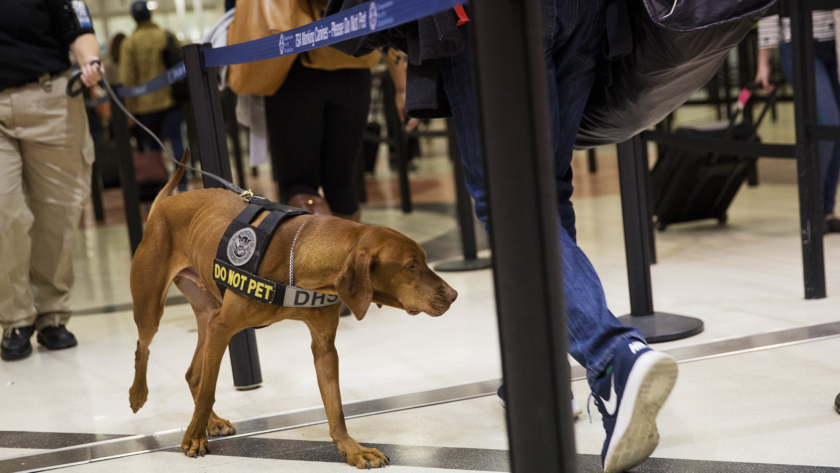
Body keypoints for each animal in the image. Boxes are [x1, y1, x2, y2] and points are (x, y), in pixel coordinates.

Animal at [130, 155, 460, 468]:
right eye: (411, 265)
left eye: (423, 260)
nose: (454, 295)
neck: (299, 261)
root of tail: (163, 203)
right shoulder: (223, 327)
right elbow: (209, 389)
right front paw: (193, 438)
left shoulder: (324, 346)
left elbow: (335, 406)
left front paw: (352, 449)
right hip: (152, 308)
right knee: (145, 348)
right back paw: (139, 395)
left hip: (207, 314)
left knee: (194, 375)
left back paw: (211, 420)